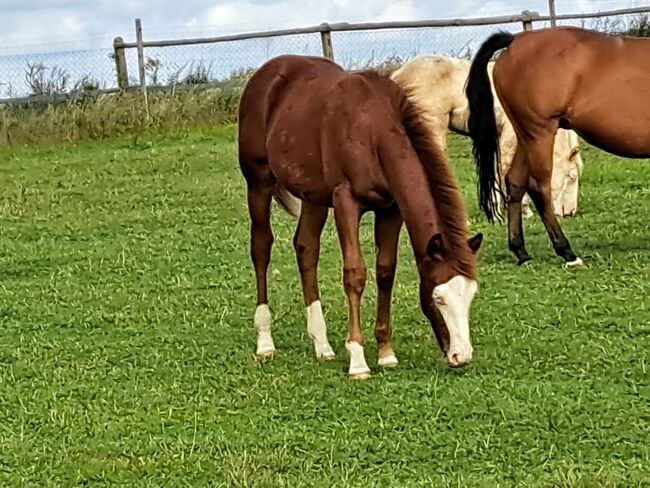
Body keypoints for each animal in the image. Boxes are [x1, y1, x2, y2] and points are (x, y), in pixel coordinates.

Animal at [238, 55, 480, 380]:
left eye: (471, 295)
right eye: (438, 297)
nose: (461, 355)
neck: (371, 131)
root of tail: (266, 73)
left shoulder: (390, 209)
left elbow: (385, 272)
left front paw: (386, 353)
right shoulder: (346, 202)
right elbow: (354, 273)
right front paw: (358, 360)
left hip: (313, 196)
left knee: (306, 249)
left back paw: (322, 346)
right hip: (259, 183)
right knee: (261, 247)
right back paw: (265, 342)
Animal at [464, 27, 648, 264]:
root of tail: (516, 40)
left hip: (526, 136)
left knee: (515, 182)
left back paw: (521, 251)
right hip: (540, 133)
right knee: (539, 187)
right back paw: (566, 251)